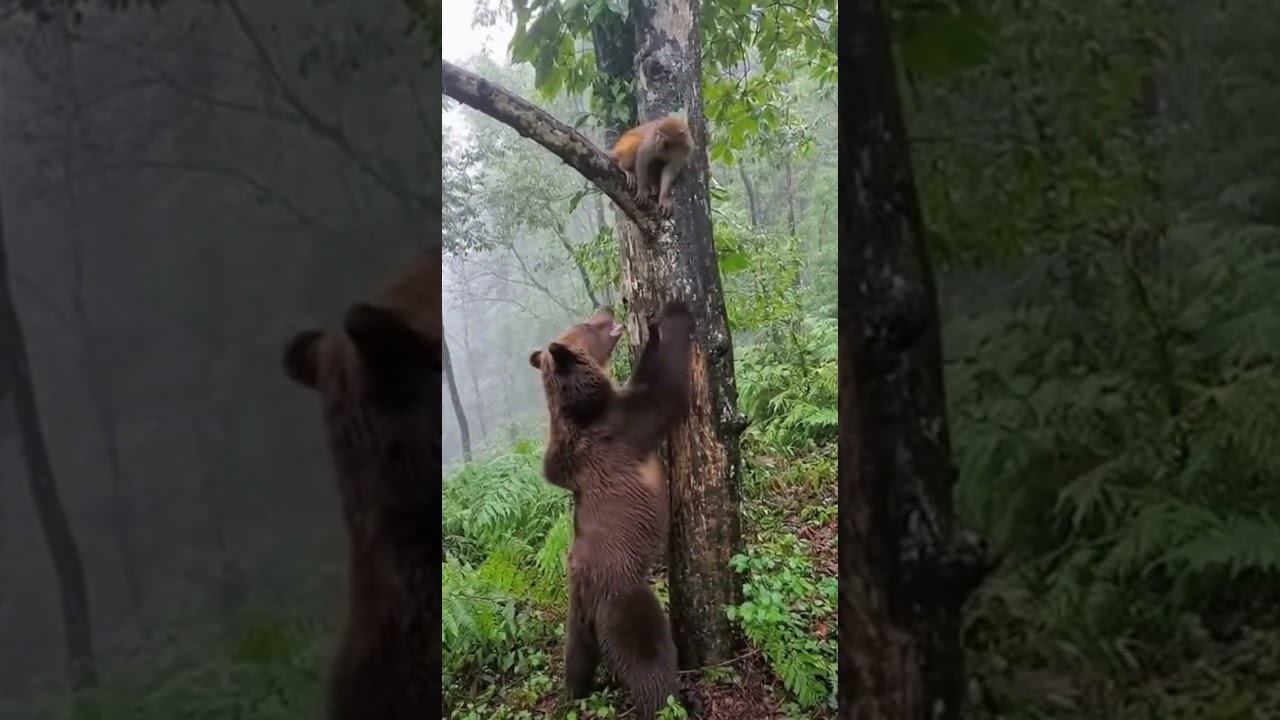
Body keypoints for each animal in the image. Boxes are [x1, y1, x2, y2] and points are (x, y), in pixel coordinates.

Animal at [527, 300, 695, 720]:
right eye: (588, 325)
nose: (604, 306)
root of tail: (589, 605)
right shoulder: (622, 426)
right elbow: (663, 389)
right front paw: (673, 315)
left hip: (575, 622)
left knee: (576, 662)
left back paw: (575, 693)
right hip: (625, 601)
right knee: (649, 661)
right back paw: (675, 701)